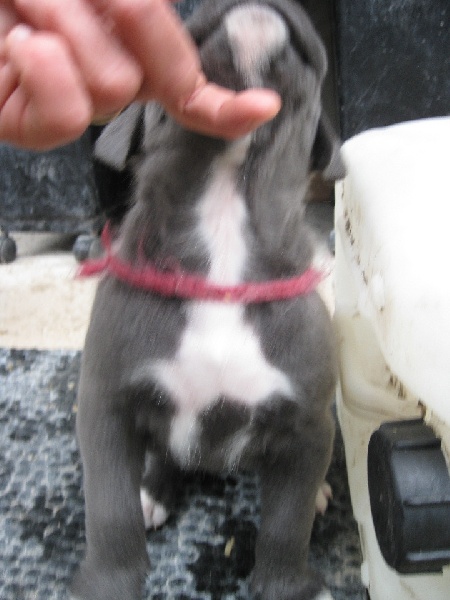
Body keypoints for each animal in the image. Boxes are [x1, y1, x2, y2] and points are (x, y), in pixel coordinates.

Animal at [71, 1, 345, 599]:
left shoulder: (308, 425)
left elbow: (286, 523)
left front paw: (288, 583)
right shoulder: (106, 406)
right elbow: (109, 512)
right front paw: (110, 579)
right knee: (159, 459)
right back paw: (153, 490)